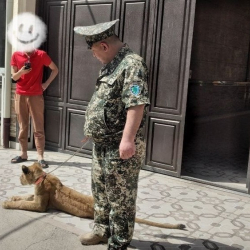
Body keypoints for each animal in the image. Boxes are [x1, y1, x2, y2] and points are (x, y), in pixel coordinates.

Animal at [1, 162, 186, 230]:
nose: (19, 178)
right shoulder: (35, 197)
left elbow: (23, 204)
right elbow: (25, 197)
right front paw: (13, 197)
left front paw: (7, 204)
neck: (41, 177)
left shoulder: (40, 206)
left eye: (21, 174)